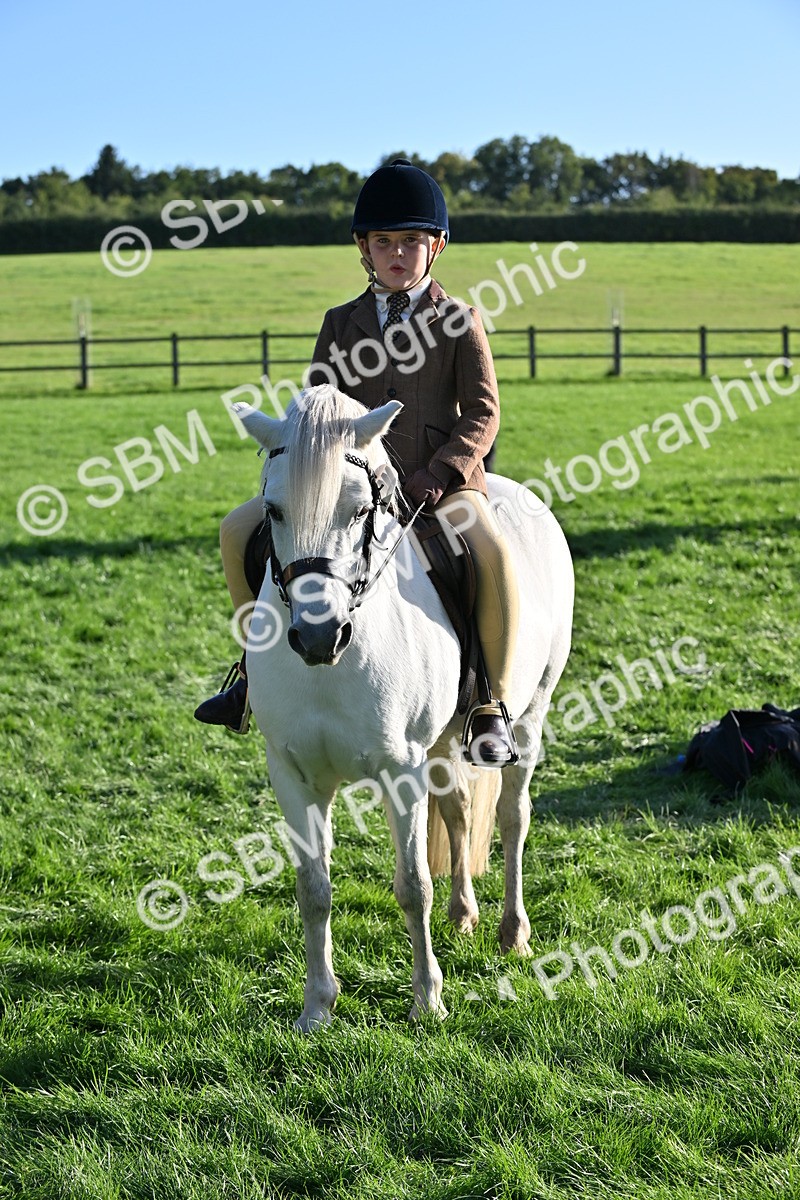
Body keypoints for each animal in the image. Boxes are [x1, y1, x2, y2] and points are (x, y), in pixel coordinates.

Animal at [232, 384, 574, 1031]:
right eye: (273, 511)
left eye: (358, 511)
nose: (319, 637)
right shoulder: (291, 774)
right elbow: (313, 889)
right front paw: (317, 1007)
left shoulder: (400, 771)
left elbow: (413, 885)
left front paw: (427, 1000)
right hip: (441, 740)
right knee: (460, 810)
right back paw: (464, 914)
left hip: (528, 716)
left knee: (513, 817)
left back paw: (511, 932)